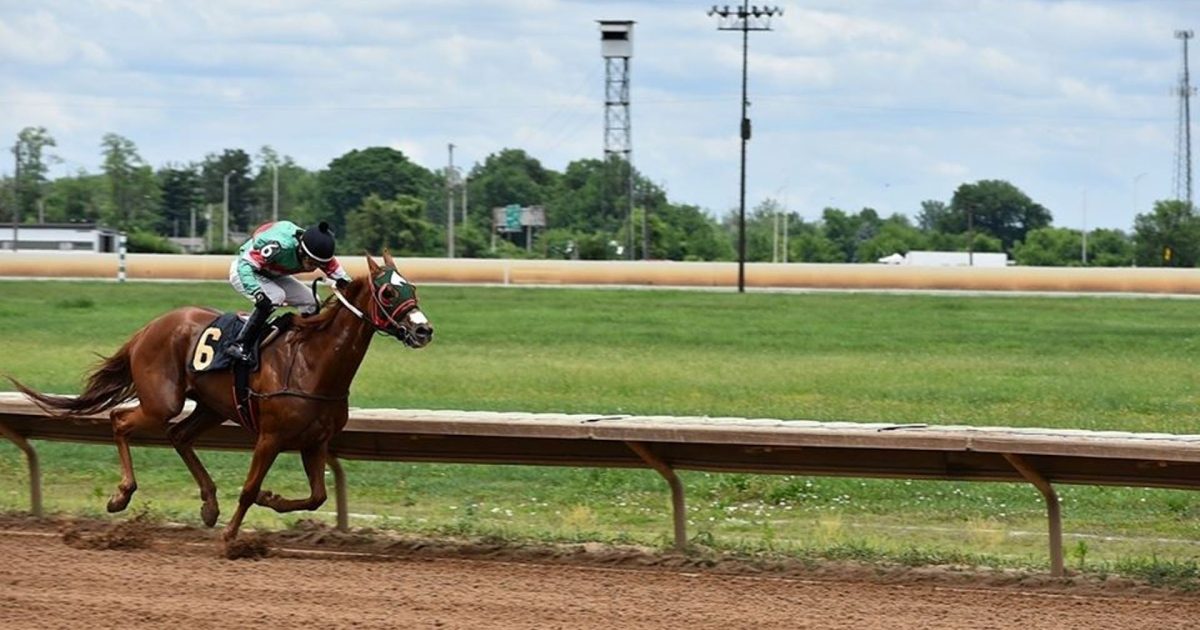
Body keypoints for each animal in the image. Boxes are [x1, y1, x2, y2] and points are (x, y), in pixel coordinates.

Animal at [10, 251, 433, 551]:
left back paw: (209, 505)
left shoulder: (315, 441)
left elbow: (317, 496)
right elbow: (248, 489)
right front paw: (231, 537)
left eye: (413, 289)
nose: (424, 330)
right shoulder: (270, 437)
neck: (314, 362)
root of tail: (149, 327)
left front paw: (270, 497)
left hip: (212, 407)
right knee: (120, 420)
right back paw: (121, 495)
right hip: (163, 401)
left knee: (179, 435)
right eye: (388, 292)